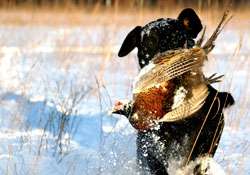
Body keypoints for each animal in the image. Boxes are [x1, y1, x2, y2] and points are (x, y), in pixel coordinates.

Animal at [116, 7, 233, 174]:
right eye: (150, 42)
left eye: (179, 38)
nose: (168, 60)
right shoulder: (150, 142)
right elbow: (155, 162)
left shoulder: (209, 131)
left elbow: (198, 154)